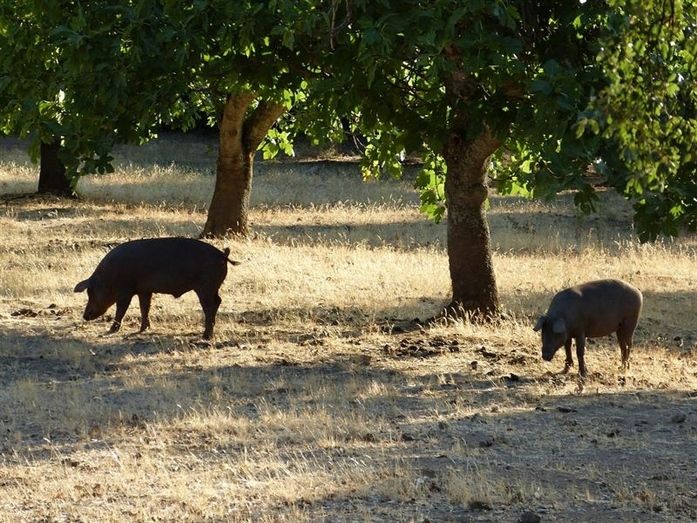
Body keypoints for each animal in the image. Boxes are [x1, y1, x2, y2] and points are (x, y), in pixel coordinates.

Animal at [72, 238, 238, 340]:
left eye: (90, 292)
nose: (85, 316)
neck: (108, 277)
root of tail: (222, 255)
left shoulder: (125, 291)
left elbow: (121, 310)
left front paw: (111, 330)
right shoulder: (144, 290)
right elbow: (144, 307)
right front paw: (143, 329)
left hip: (205, 286)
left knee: (209, 306)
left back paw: (206, 336)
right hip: (213, 287)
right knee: (218, 301)